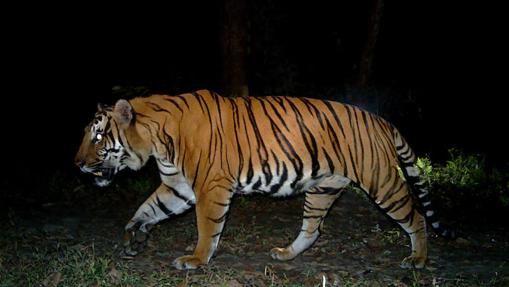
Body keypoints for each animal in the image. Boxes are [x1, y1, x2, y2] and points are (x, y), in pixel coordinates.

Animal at [73, 89, 450, 272]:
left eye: (97, 137)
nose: (77, 164)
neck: (156, 143)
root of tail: (380, 119)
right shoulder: (178, 188)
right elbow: (147, 208)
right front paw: (133, 235)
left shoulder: (210, 188)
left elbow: (207, 228)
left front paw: (195, 260)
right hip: (323, 188)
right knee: (312, 230)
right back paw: (285, 254)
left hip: (381, 182)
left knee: (416, 217)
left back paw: (418, 260)